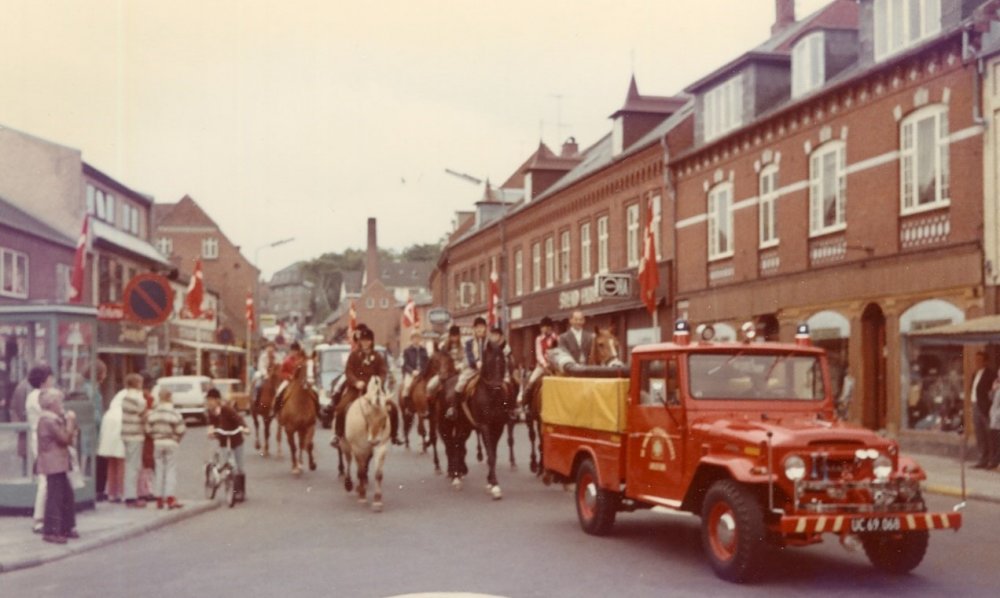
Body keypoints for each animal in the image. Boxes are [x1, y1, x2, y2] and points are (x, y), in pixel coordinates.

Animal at [341, 376, 392, 512]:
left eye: (385, 417)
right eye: (367, 415)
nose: (373, 441)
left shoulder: (381, 446)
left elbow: (378, 474)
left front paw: (377, 501)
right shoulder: (358, 448)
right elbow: (361, 472)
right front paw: (363, 497)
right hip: (346, 445)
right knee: (348, 460)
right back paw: (349, 484)